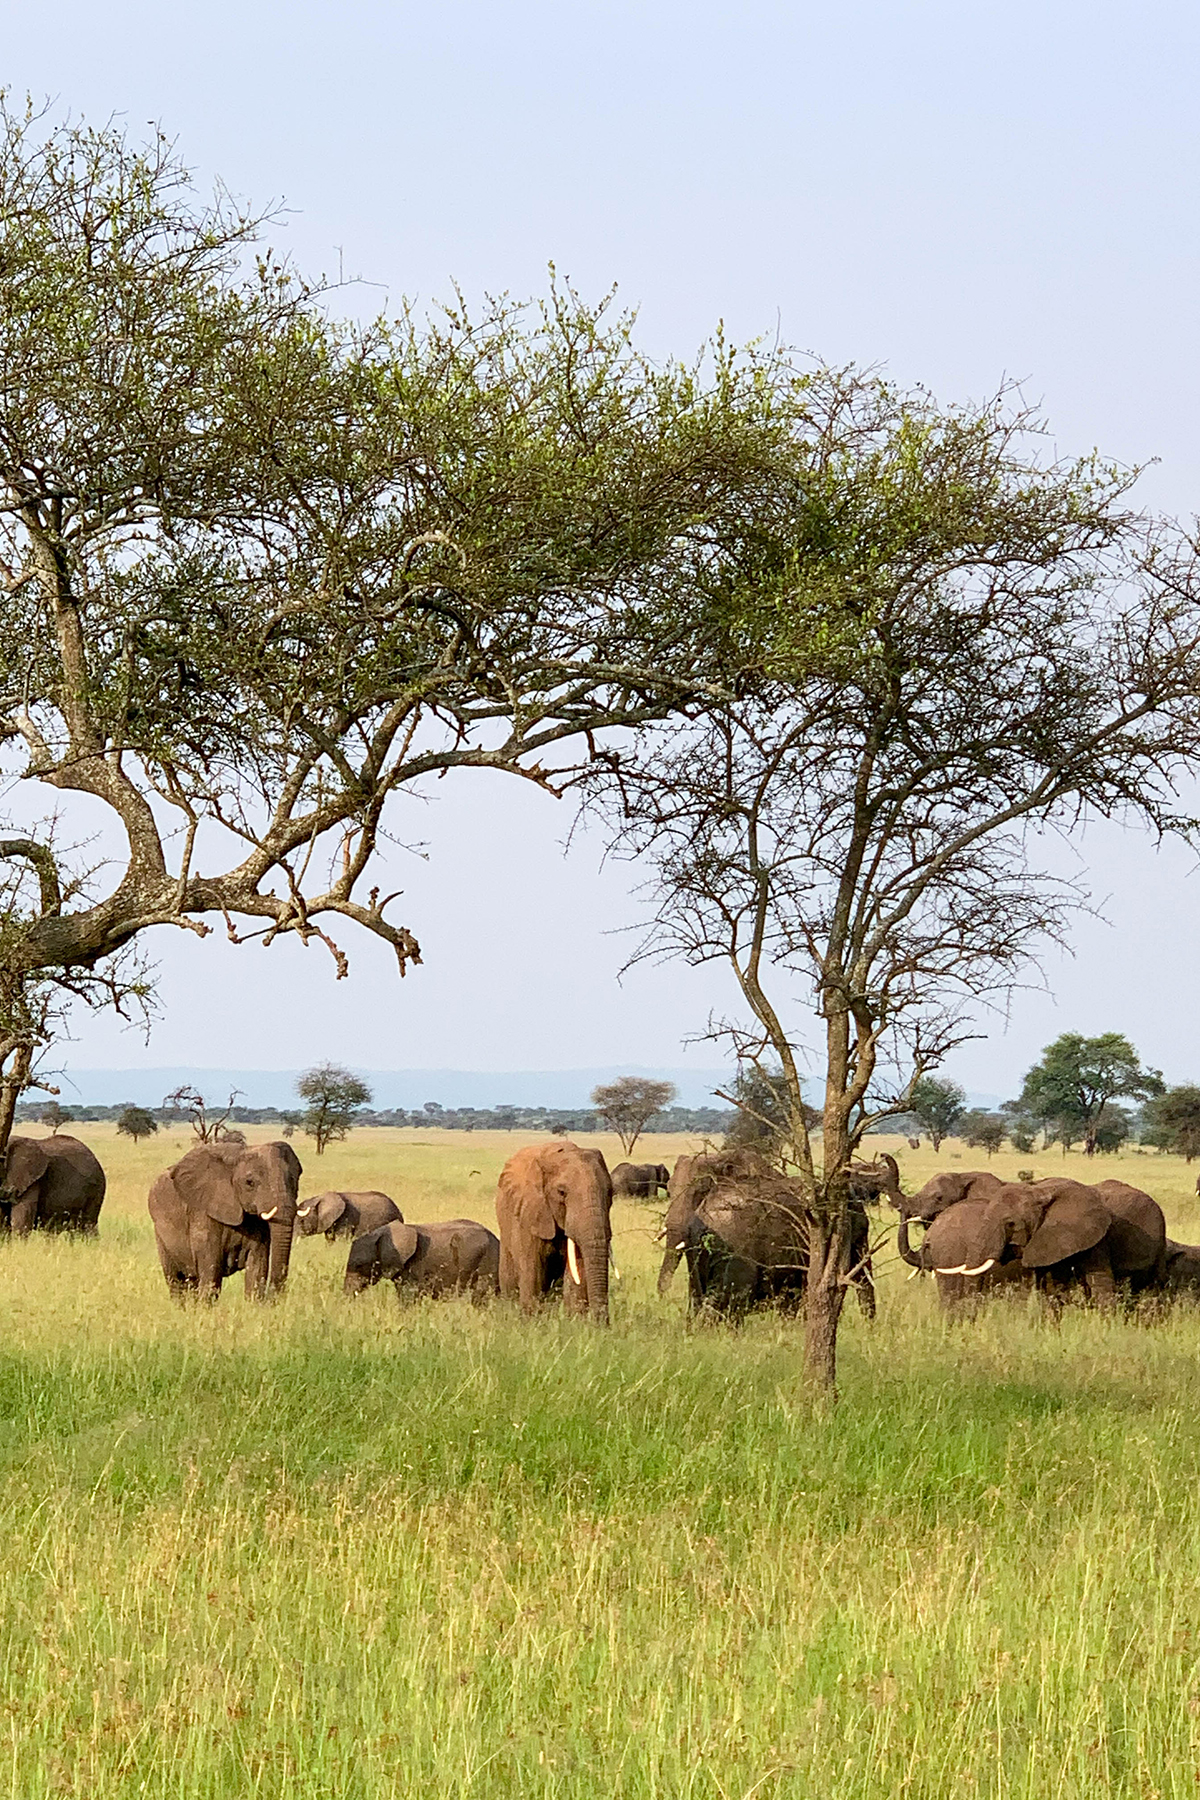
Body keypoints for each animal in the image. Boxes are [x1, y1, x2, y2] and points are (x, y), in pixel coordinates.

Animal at [147, 1130, 302, 1303]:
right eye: (250, 1182)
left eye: (294, 1179)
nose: (275, 1297)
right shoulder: (203, 1211)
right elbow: (211, 1270)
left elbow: (257, 1267)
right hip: (160, 1235)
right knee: (175, 1281)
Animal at [496, 1137, 615, 1324]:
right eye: (561, 1192)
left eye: (611, 1192)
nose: (603, 1325)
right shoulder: (528, 1212)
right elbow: (532, 1268)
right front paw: (532, 1323)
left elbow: (577, 1269)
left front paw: (575, 1322)